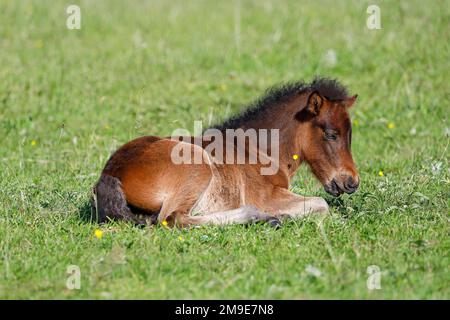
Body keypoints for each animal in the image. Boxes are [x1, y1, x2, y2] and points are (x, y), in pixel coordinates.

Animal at [90, 77, 358, 228]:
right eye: (331, 134)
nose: (352, 182)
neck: (258, 150)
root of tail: (110, 173)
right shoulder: (266, 195)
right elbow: (321, 203)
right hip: (196, 166)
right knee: (172, 218)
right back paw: (261, 217)